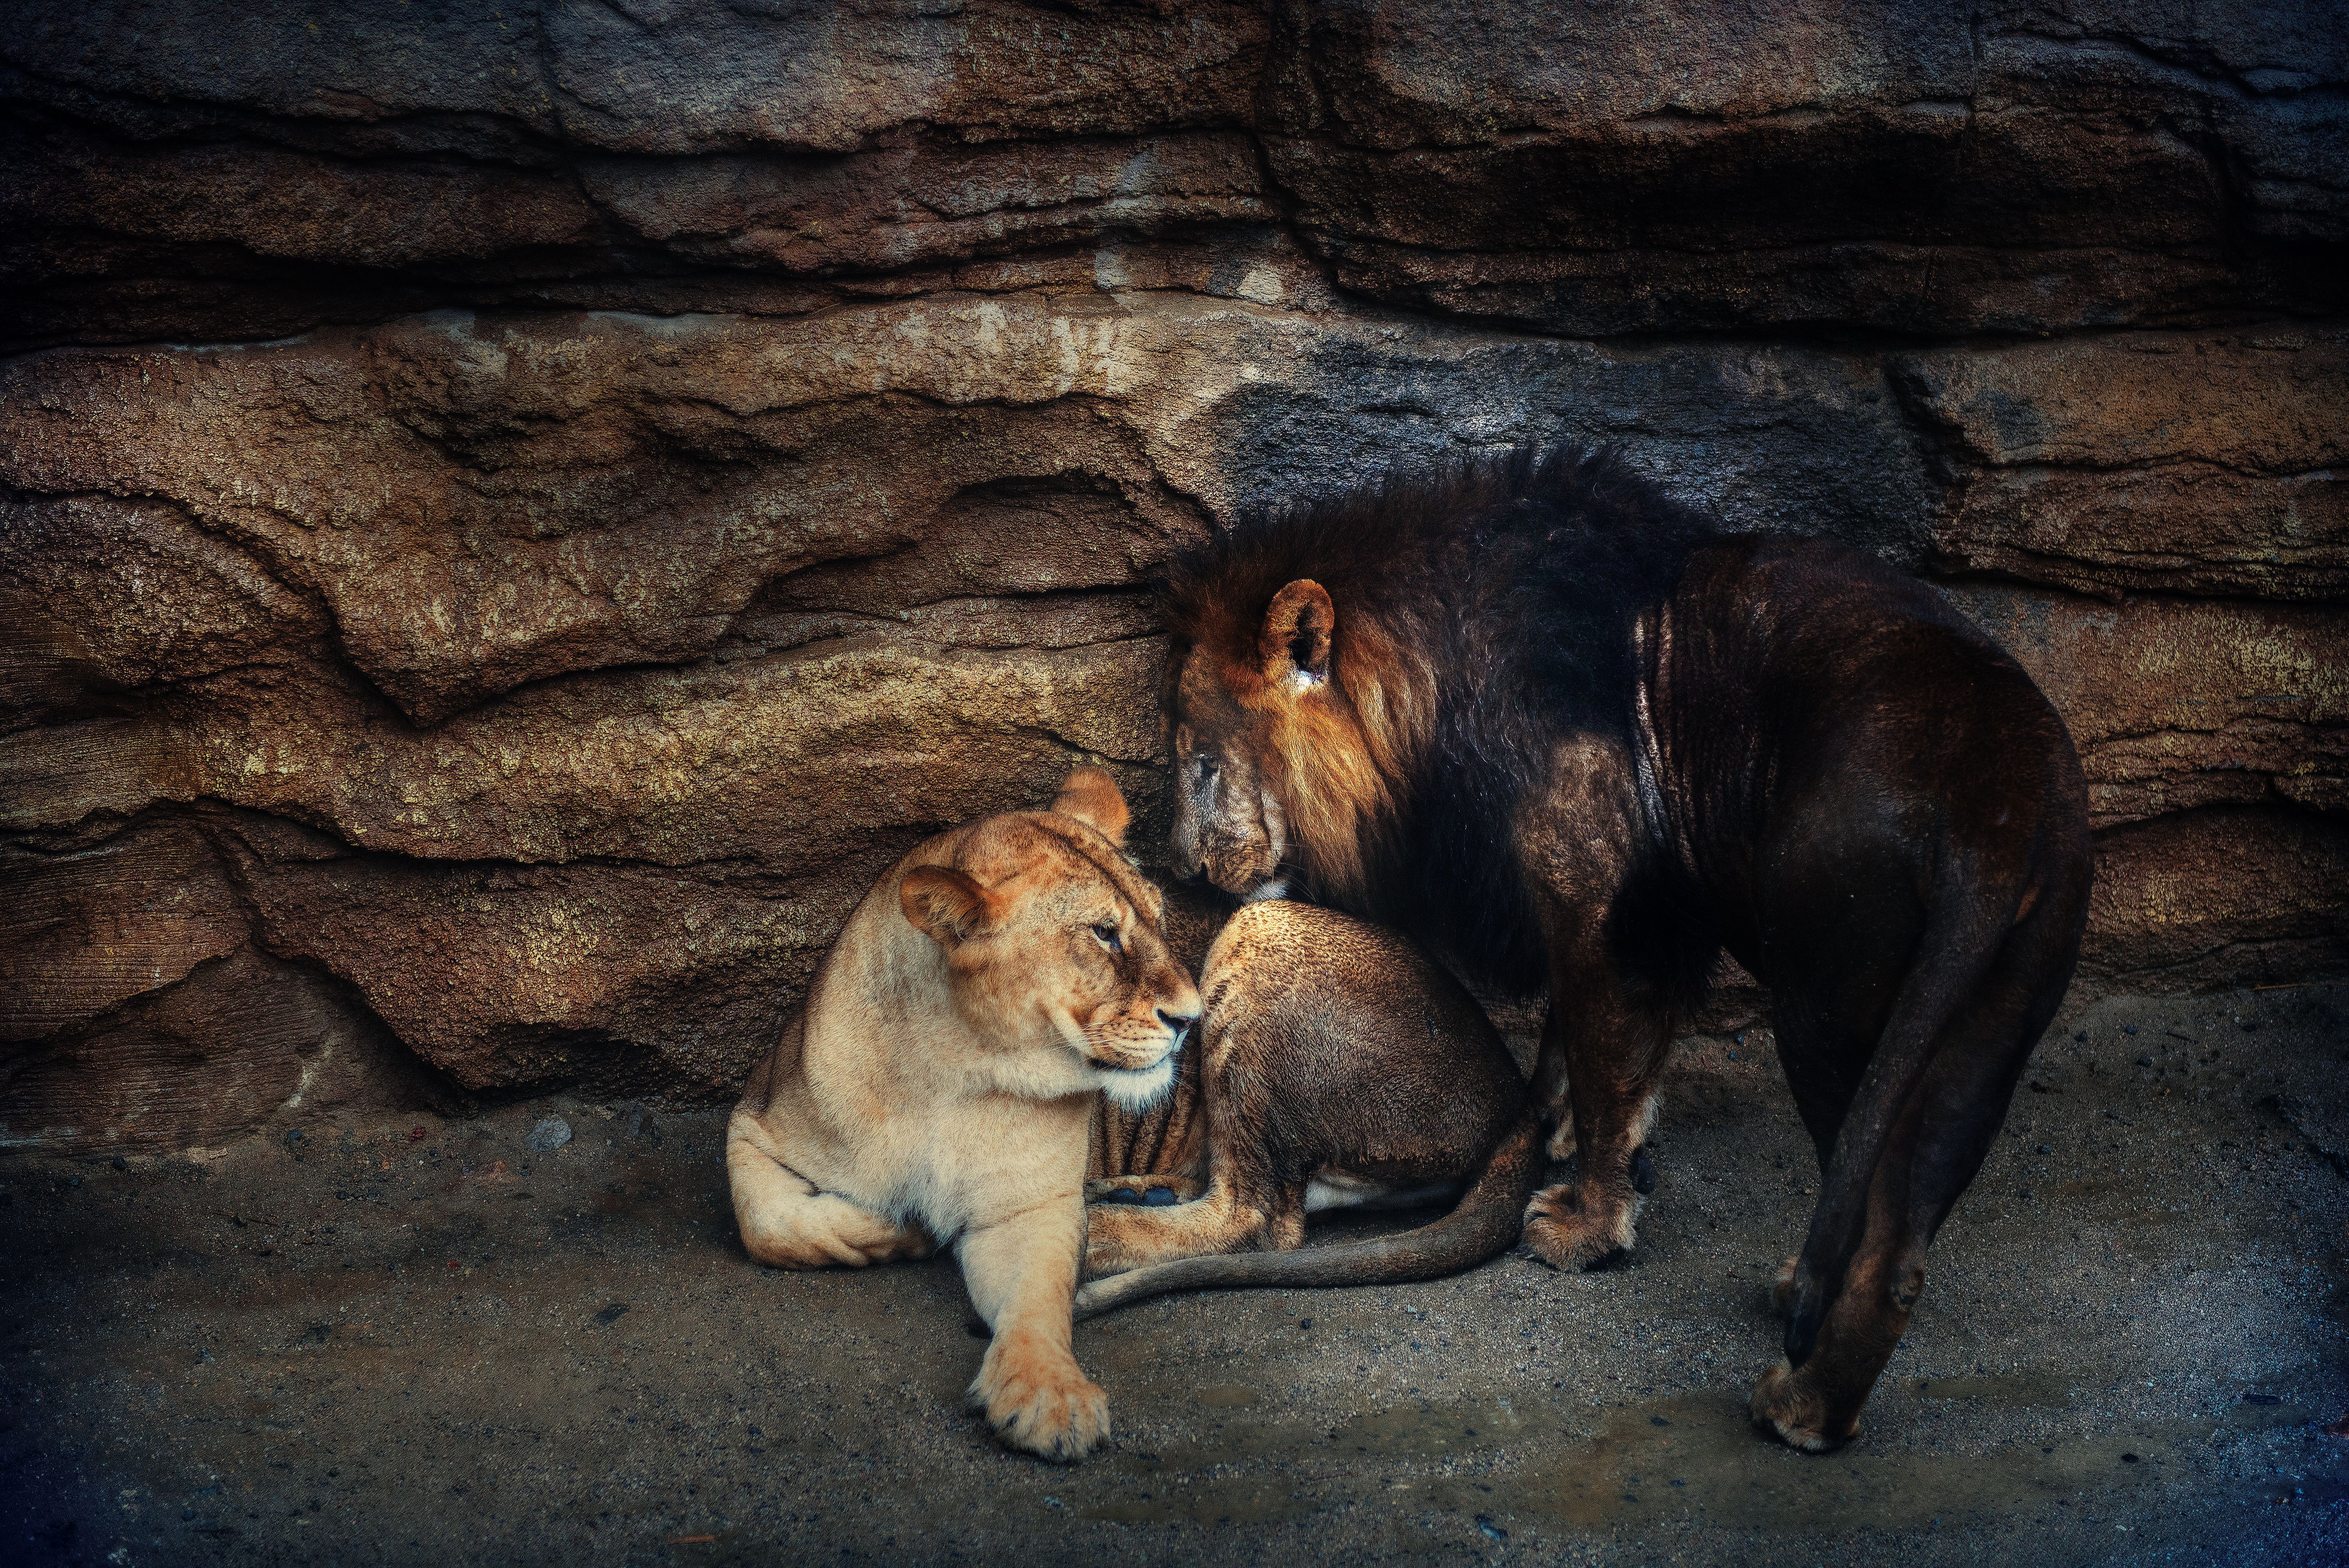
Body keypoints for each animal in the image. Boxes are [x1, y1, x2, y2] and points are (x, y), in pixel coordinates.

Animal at [725, 766, 1200, 1462]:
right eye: (1104, 933)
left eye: (1159, 918)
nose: (1192, 1018)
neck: (949, 1072)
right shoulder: (753, 1119)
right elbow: (766, 1222)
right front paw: (906, 1229)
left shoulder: (1031, 1206)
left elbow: (1038, 1302)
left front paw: (1050, 1396)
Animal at [1158, 445, 2093, 1451]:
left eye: (1201, 762)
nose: (1178, 866)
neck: (1433, 681)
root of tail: (1995, 805)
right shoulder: (1605, 908)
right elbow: (1569, 1045)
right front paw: (1548, 1130)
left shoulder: (1597, 892)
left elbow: (1607, 1068)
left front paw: (1585, 1224)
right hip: (1985, 1030)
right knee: (1905, 1243)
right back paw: (1808, 1354)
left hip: (1827, 1006)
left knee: (1875, 1227)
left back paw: (1798, 1403)